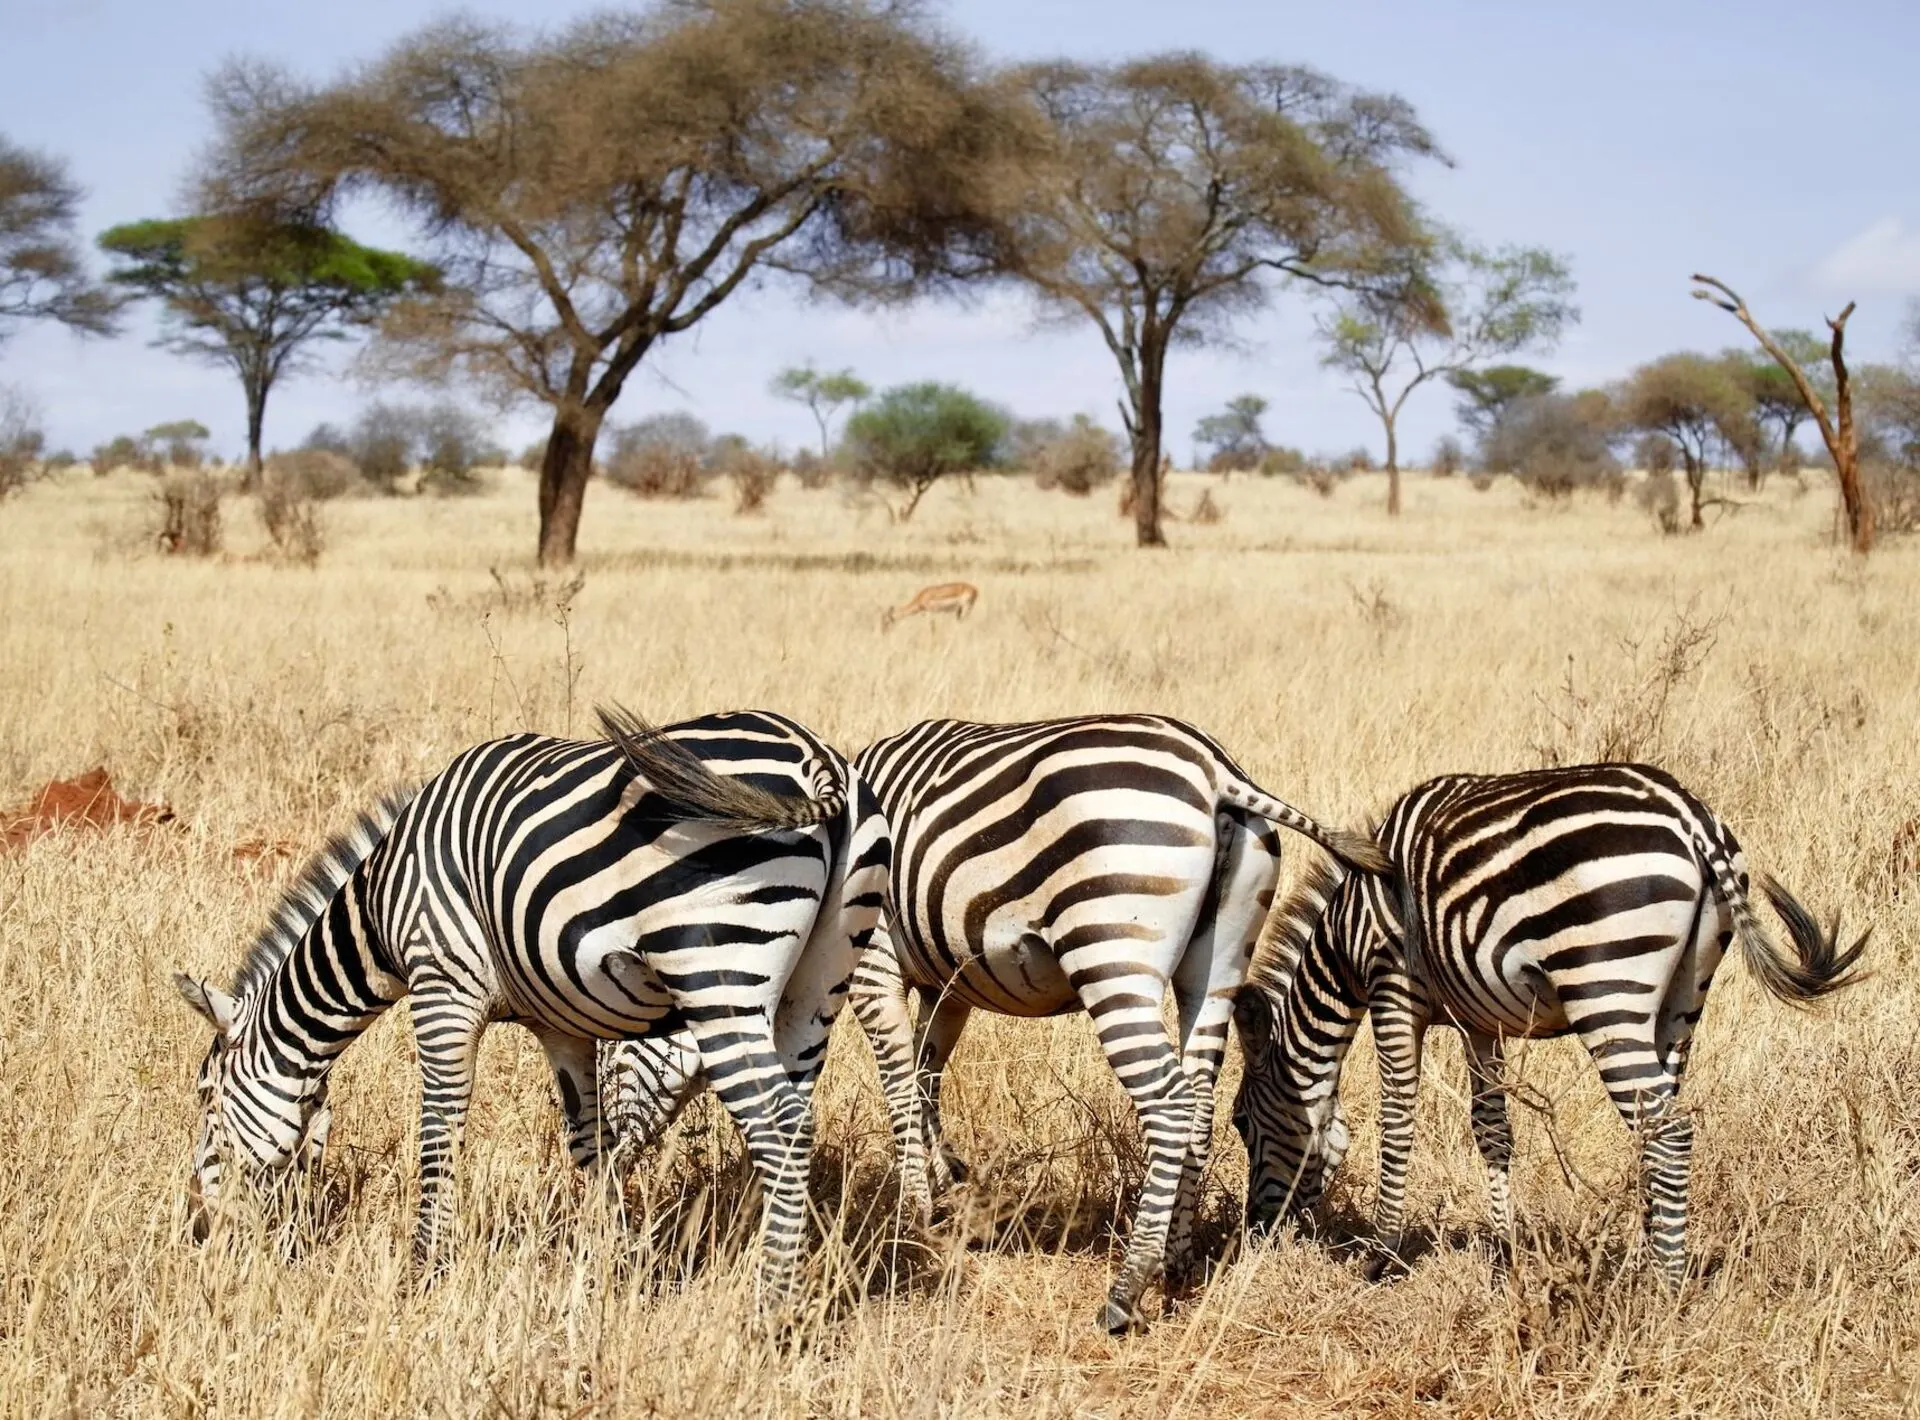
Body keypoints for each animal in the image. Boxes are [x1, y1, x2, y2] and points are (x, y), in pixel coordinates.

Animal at [172, 707, 890, 1310]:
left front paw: (426, 1271)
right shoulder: (559, 1022)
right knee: (795, 1117)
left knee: (780, 1130)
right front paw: (607, 1264)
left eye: (205, 1096)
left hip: (718, 976)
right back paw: (765, 1275)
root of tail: (816, 757)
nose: (197, 1227)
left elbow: (438, 1128)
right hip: (817, 986)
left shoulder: (444, 983)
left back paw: (767, 1310)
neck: (380, 905)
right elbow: (589, 1144)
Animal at [605, 714, 1387, 1333]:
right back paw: (1177, 1260)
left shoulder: (873, 961)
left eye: (616, 1056)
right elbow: (926, 1072)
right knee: (1195, 1100)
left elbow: (896, 1077)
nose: (607, 1172)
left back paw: (1127, 1289)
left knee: (1167, 1104)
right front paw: (945, 1184)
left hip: (1113, 952)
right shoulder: (948, 981)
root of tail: (1219, 770)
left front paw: (913, 1211)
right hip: (1216, 963)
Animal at [1230, 762, 1866, 1287]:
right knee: (1655, 1124)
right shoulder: (1477, 1021)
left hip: (1607, 988)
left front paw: (1381, 1255)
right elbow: (1492, 1130)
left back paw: (1666, 1285)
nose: (1257, 1233)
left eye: (1240, 1121)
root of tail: (1693, 818)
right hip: (1683, 999)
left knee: (1668, 1131)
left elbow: (1396, 1118)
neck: (1346, 936)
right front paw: (1503, 1255)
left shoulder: (1394, 988)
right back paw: (1649, 1253)